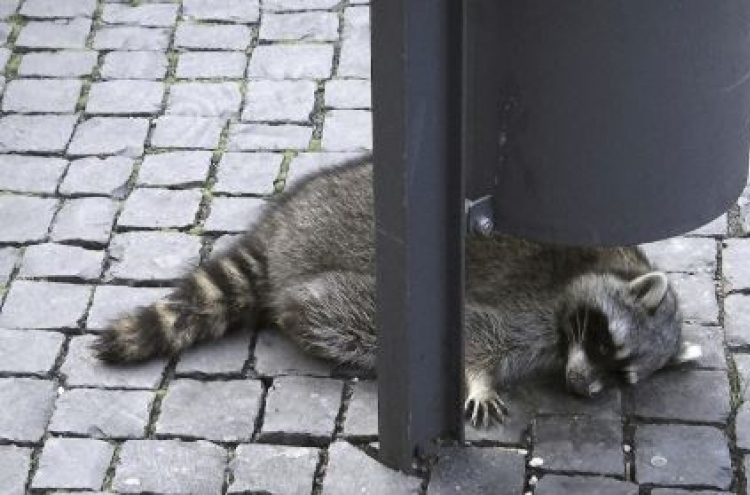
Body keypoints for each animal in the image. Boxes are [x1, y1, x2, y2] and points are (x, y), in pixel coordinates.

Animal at [95, 157, 704, 428]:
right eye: (604, 344)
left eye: (622, 374)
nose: (581, 388)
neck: (612, 264)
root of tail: (282, 227)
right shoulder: (533, 303)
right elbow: (478, 334)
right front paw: (479, 378)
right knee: (338, 312)